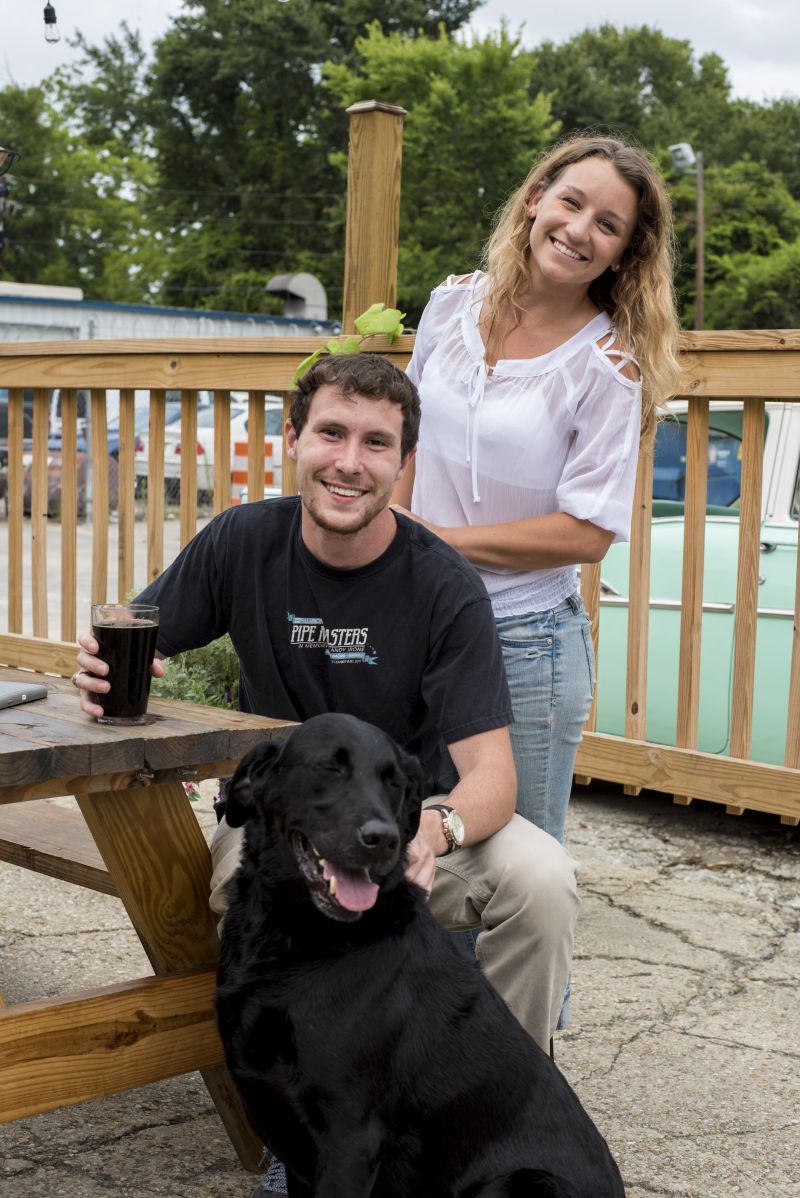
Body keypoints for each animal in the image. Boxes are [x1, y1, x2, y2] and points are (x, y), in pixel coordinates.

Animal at [216, 714, 622, 1198]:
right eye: (329, 767)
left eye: (394, 783)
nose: (383, 839)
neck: (294, 942)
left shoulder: (349, 1140)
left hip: (516, 1182)